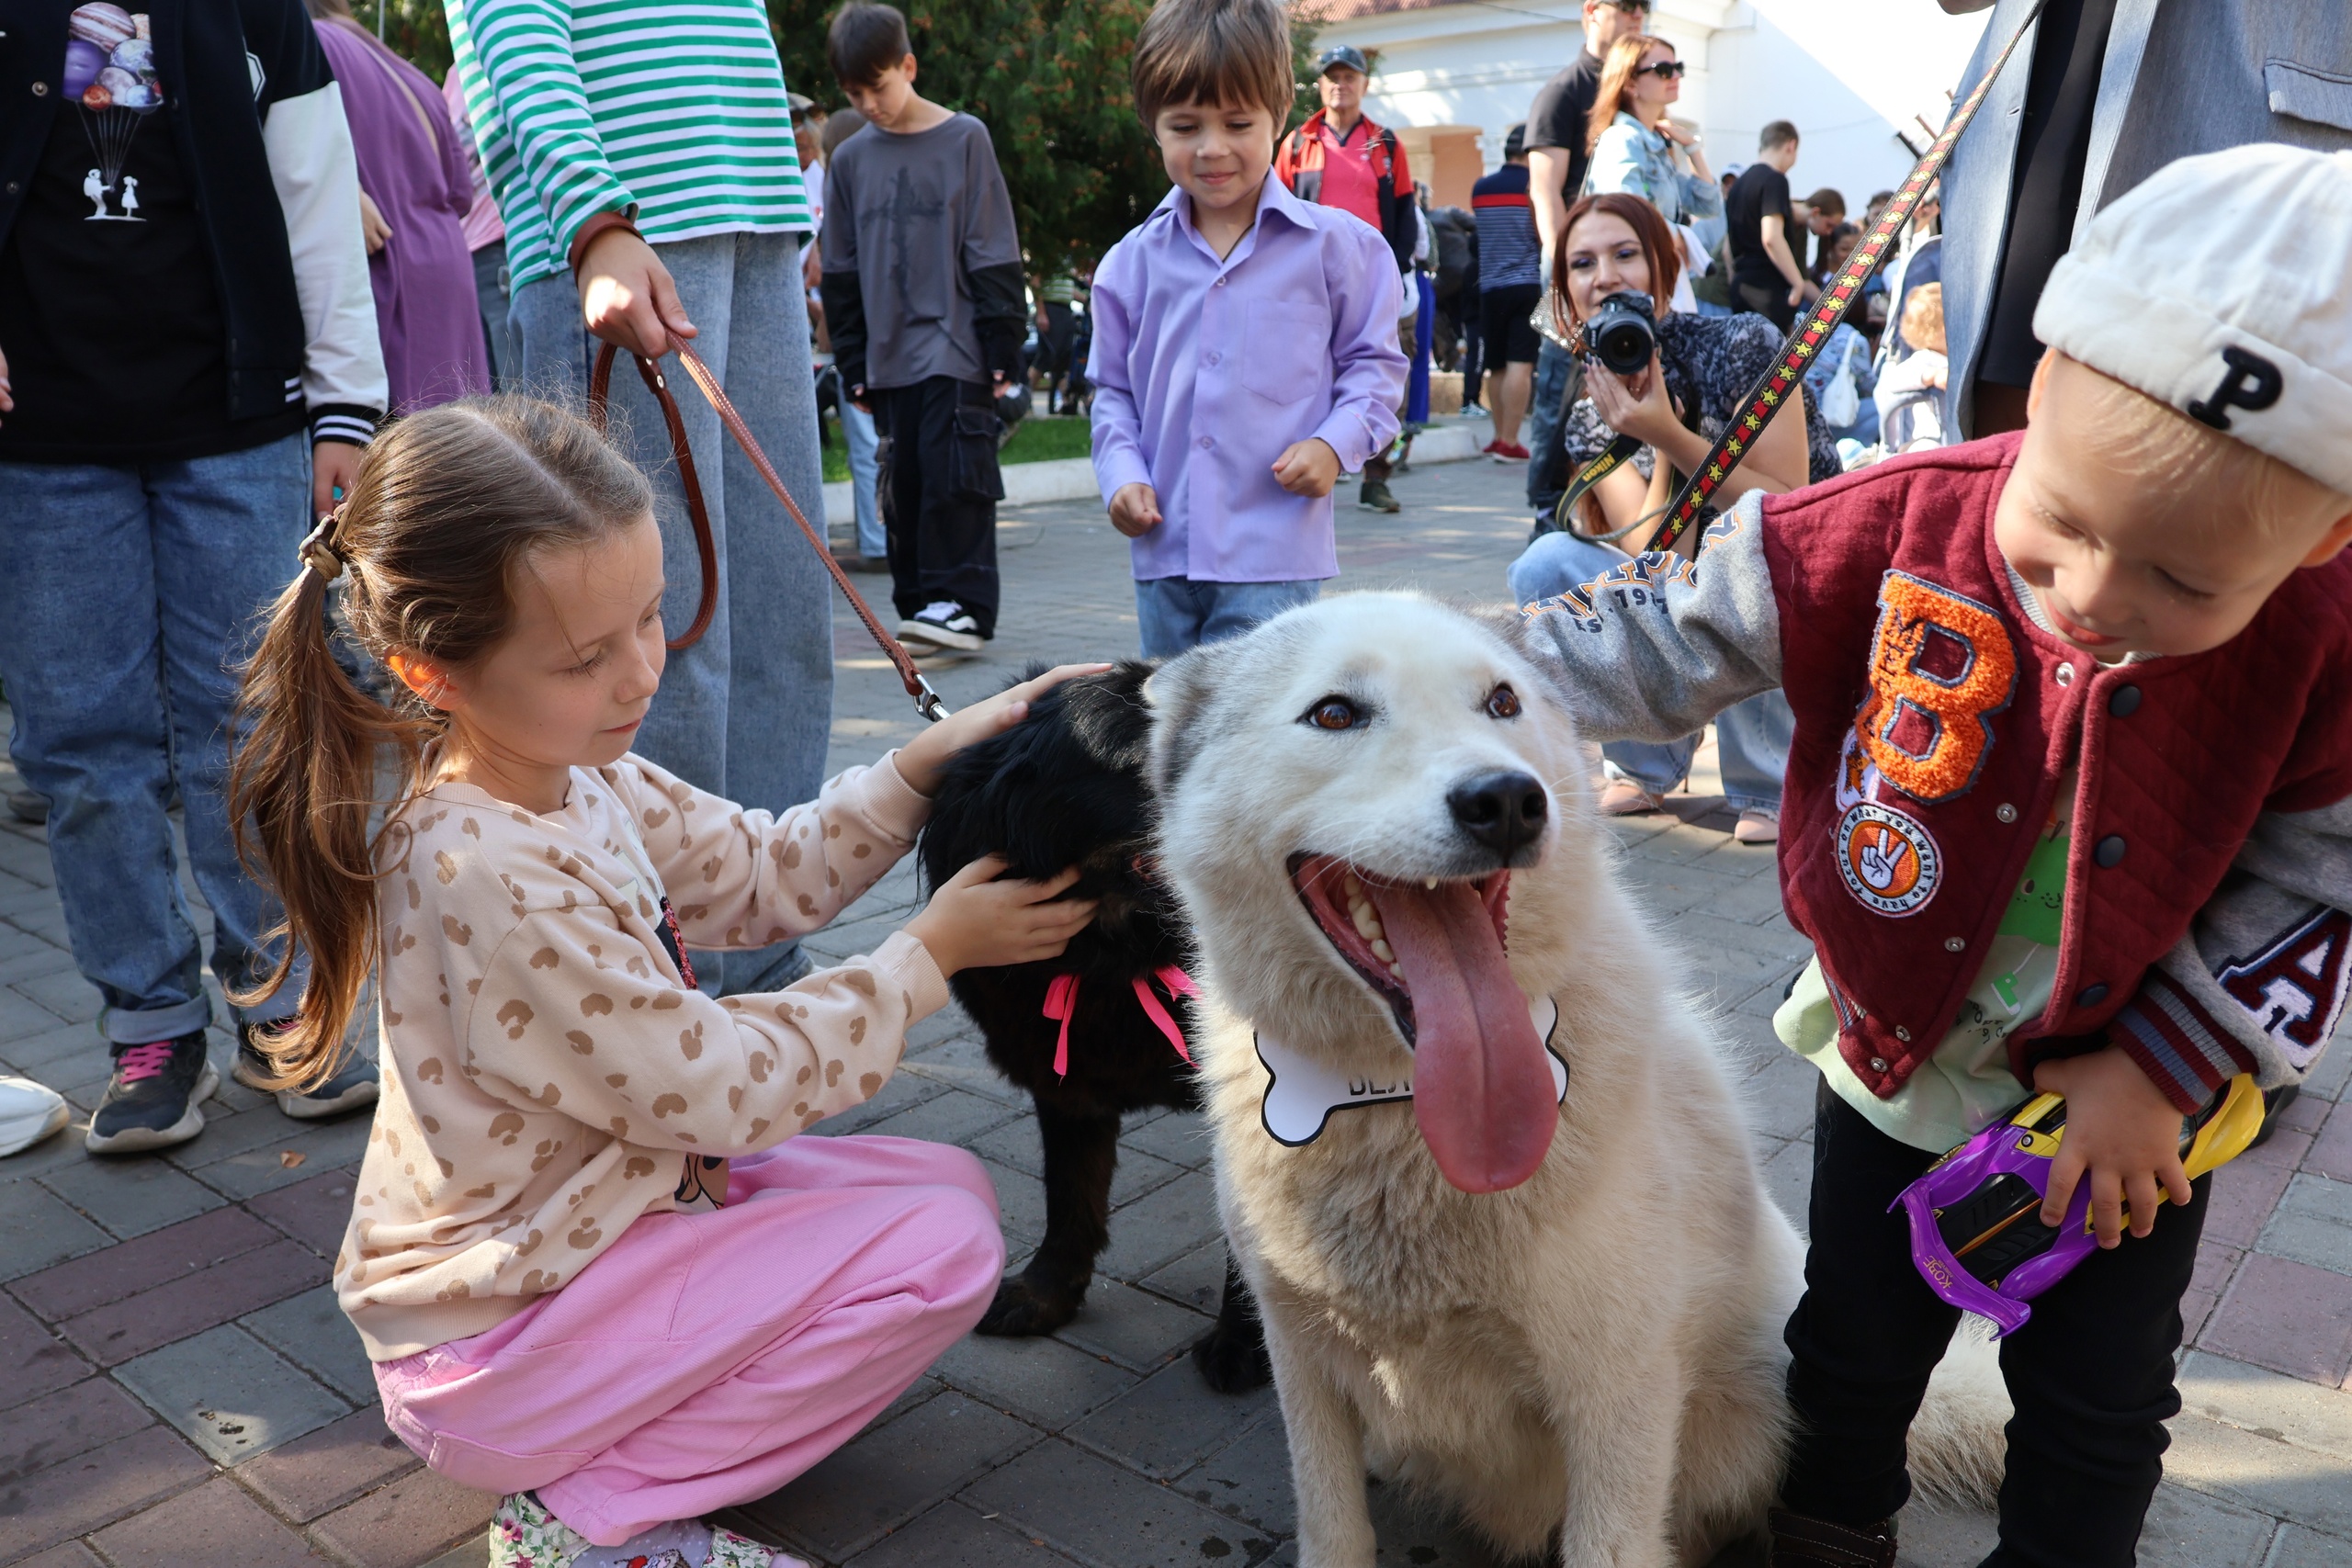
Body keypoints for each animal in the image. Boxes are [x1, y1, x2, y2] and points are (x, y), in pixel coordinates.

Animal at [1148, 597, 1994, 1568]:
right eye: (1334, 713)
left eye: (1502, 701)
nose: (1507, 802)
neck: (1401, 1109)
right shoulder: (1302, 1359)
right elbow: (1332, 1526)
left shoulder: (1619, 1394)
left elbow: (1611, 1543)